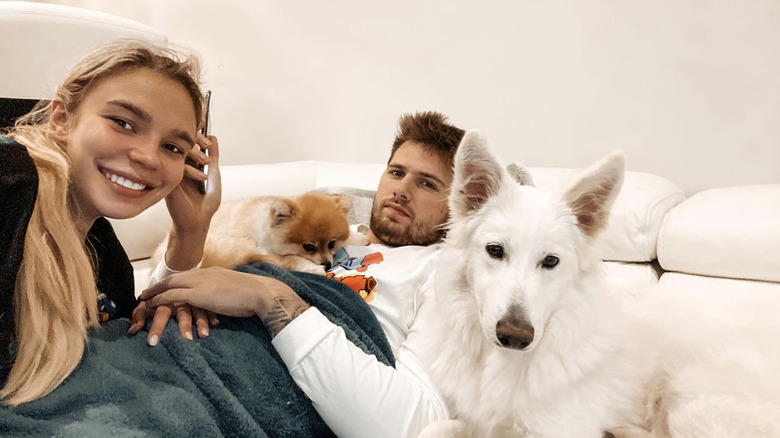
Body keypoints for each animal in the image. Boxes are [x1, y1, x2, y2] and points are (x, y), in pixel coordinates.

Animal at [157, 192, 370, 274]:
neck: (267, 230)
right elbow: (289, 259)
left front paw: (361, 238)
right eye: (309, 247)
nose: (327, 264)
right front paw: (311, 267)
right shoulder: (261, 251)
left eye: (332, 244)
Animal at [418, 130, 780, 438]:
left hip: (694, 408)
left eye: (551, 261)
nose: (515, 337)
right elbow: (432, 428)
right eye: (495, 251)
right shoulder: (474, 423)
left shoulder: (556, 429)